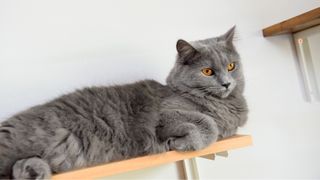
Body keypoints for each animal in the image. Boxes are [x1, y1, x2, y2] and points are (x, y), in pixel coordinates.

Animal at [0, 26, 248, 179]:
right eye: (207, 71)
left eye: (231, 66)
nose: (226, 83)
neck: (222, 106)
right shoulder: (166, 114)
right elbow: (208, 124)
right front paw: (181, 142)